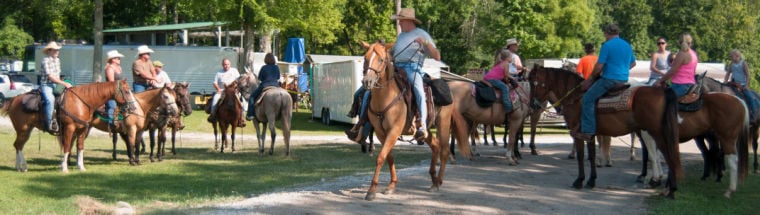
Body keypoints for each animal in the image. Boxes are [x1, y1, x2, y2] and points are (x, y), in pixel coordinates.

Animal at [360, 40, 472, 202]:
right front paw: (391, 185)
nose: (367, 81)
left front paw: (371, 191)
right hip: (424, 130)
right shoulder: (381, 133)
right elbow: (389, 157)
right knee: (435, 145)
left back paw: (438, 181)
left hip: (443, 123)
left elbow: (380, 157)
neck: (385, 97)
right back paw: (433, 180)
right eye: (365, 58)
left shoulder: (394, 131)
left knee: (444, 150)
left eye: (381, 59)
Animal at [528, 66, 684, 198]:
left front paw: (579, 181)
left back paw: (670, 189)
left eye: (533, 83)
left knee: (667, 155)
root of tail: (661, 90)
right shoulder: (590, 134)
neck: (576, 97)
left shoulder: (578, 134)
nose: (532, 106)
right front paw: (591, 181)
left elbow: (581, 156)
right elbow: (591, 156)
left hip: (655, 132)